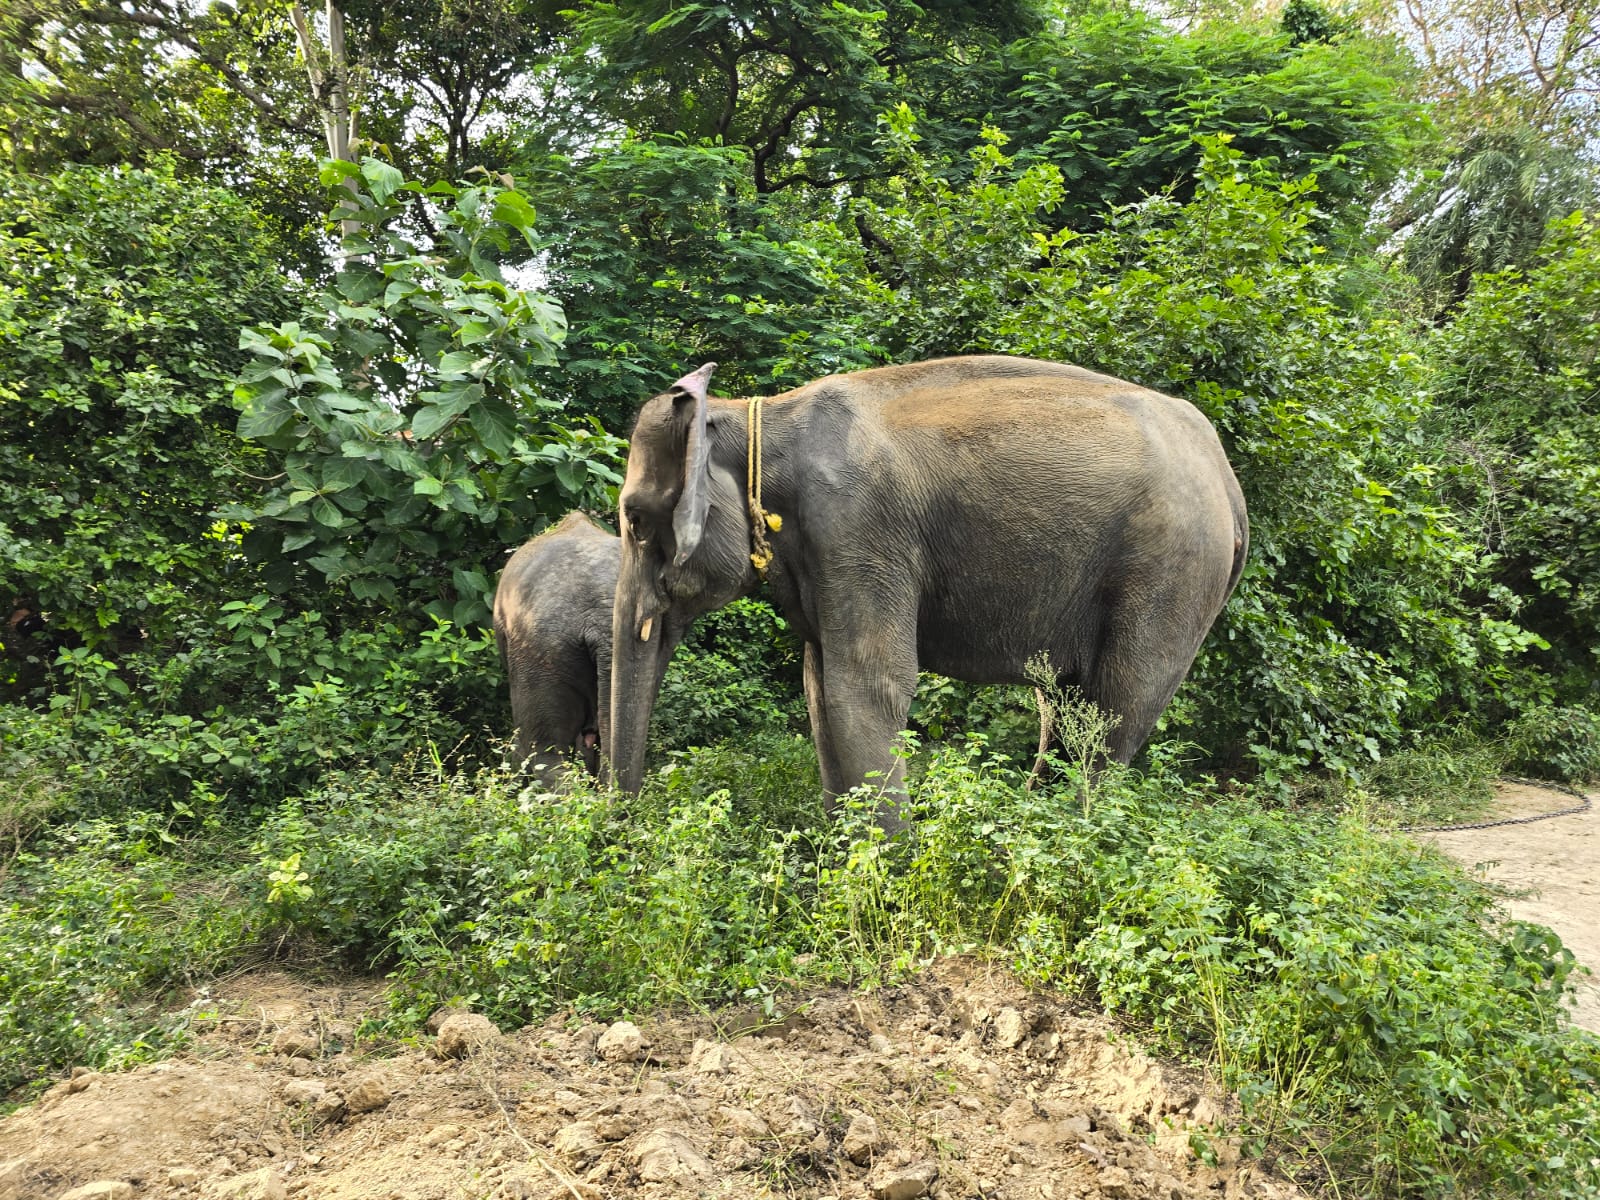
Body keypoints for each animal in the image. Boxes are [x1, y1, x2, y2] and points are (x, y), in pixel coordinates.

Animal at [604, 355, 1241, 819]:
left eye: (635, 520)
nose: (626, 822)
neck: (753, 416)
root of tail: (1225, 475)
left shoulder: (858, 527)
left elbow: (865, 687)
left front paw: (882, 874)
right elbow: (818, 688)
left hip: (1172, 568)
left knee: (1113, 711)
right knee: (1065, 706)